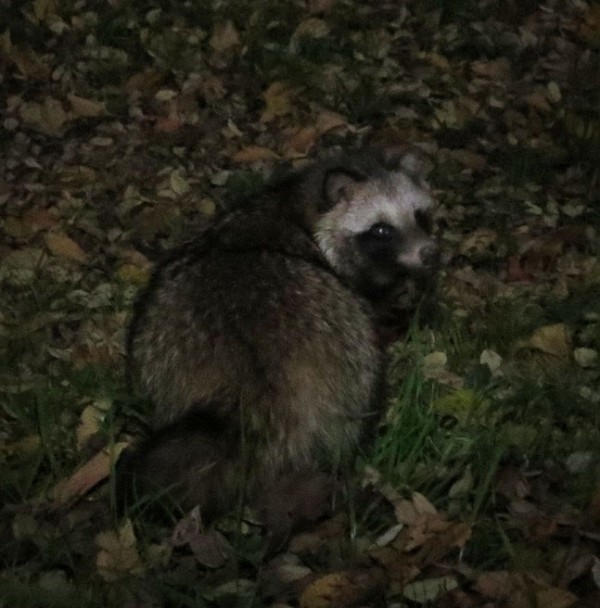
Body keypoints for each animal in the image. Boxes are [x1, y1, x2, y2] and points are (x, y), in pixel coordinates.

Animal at [119, 146, 438, 516]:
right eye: (382, 230)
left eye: (420, 216)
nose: (430, 254)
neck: (298, 203)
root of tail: (251, 393)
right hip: (348, 353)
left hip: (154, 341)